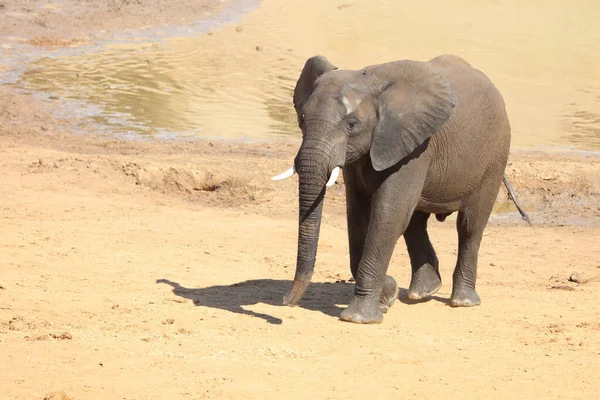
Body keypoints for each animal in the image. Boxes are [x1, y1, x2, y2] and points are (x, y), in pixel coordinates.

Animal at [274, 53, 528, 324]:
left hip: (495, 155)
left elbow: (387, 215)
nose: (285, 303)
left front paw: (359, 318)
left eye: (351, 124)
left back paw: (462, 302)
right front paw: (388, 296)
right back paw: (422, 292)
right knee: (415, 223)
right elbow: (358, 216)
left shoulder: (415, 147)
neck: (371, 81)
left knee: (470, 225)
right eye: (302, 119)